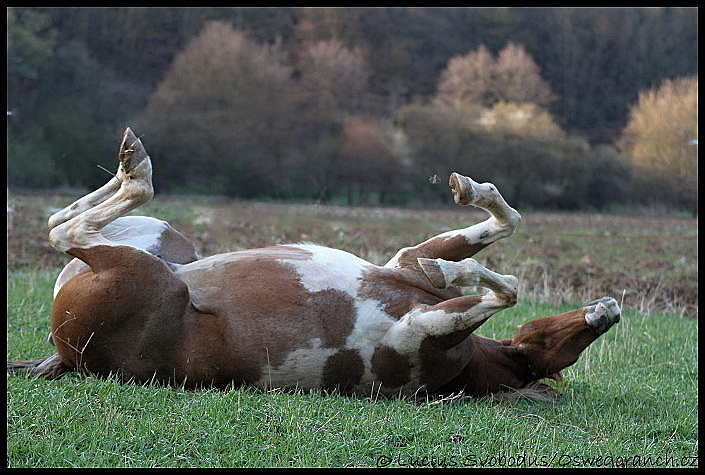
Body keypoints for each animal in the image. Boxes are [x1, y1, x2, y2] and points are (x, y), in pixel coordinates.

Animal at [8, 128, 620, 400]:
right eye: (556, 336)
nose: (609, 310)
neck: (465, 361)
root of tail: (64, 356)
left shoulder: (416, 327)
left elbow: (505, 286)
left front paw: (455, 275)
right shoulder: (405, 261)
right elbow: (499, 228)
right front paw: (469, 195)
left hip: (141, 272)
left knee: (66, 229)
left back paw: (135, 166)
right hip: (163, 243)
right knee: (66, 221)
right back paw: (131, 160)